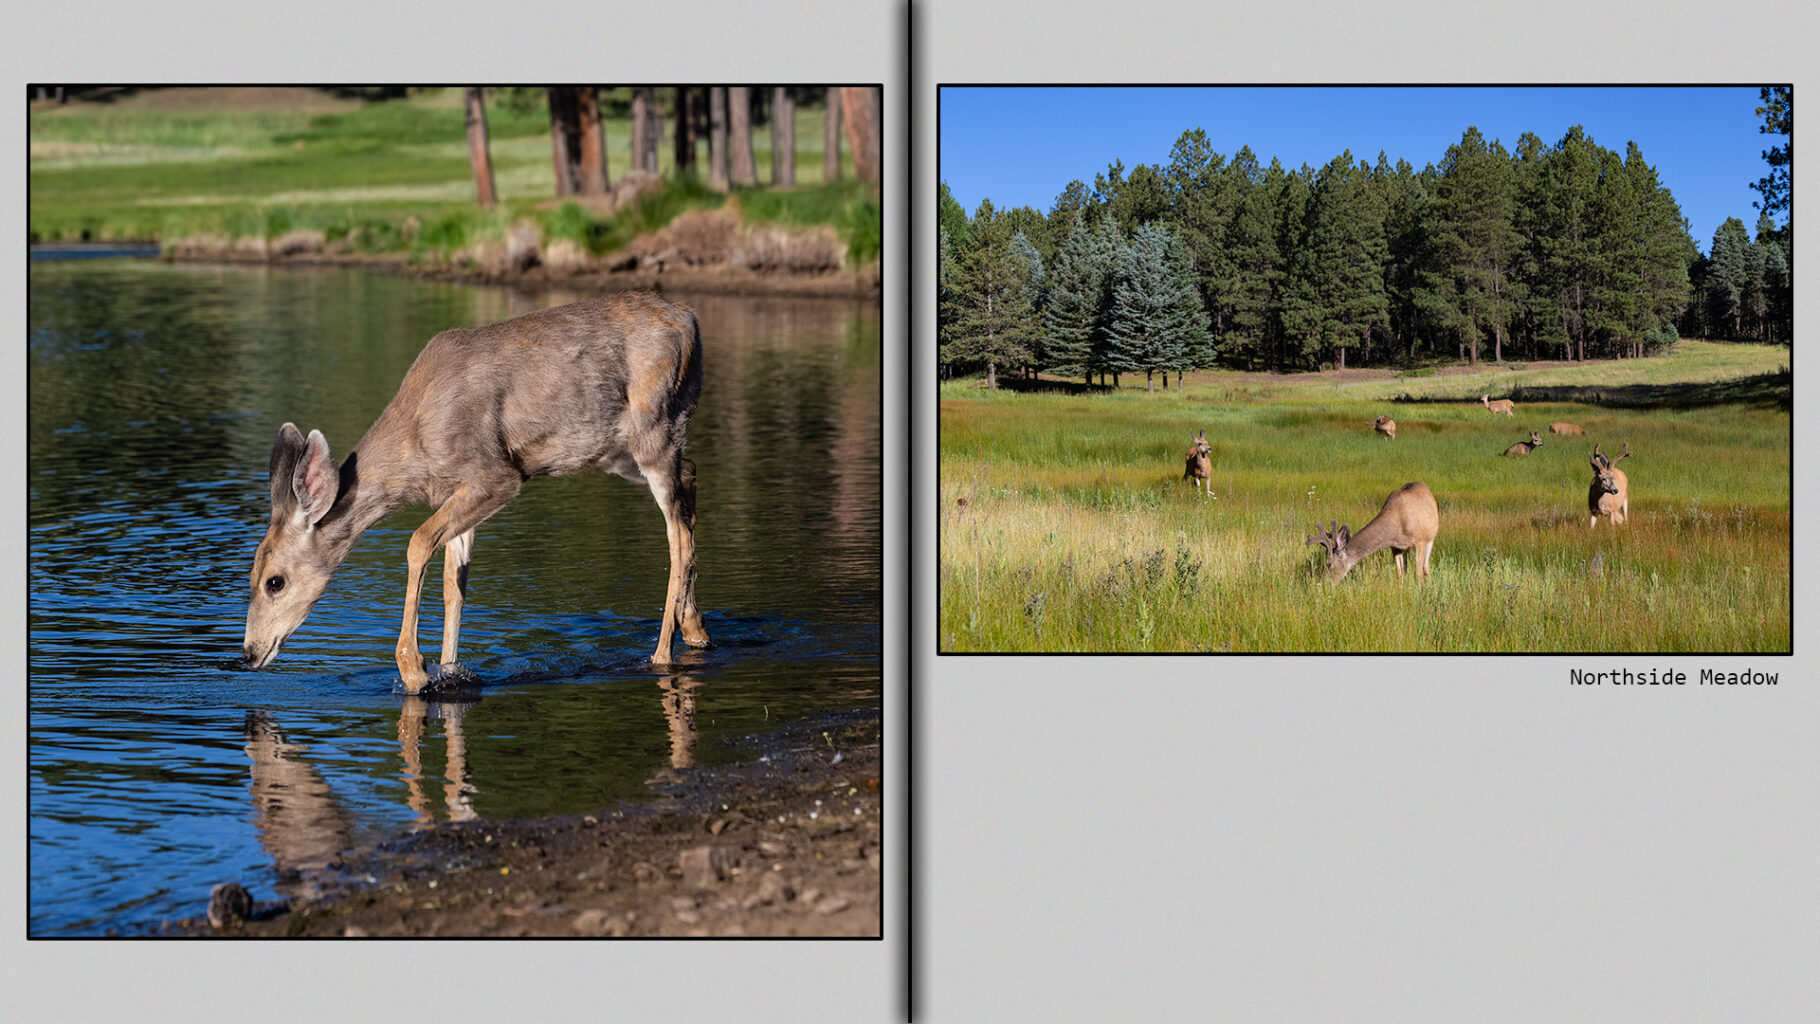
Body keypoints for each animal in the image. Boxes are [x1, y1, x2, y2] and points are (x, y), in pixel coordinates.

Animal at [241, 291, 710, 694]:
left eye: (274, 582)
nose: (247, 653)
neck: (416, 452)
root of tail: (691, 319)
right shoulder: (460, 491)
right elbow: (455, 580)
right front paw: (448, 670)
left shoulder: (495, 474)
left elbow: (417, 542)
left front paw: (414, 669)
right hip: (620, 452)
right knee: (690, 478)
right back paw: (695, 629)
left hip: (653, 429)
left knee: (676, 536)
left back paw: (662, 654)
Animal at [1305, 482, 1439, 582]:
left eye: (1329, 564)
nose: (1325, 583)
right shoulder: (1395, 547)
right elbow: (1399, 573)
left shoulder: (1420, 541)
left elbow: (1418, 573)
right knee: (1406, 567)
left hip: (1431, 538)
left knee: (1426, 567)